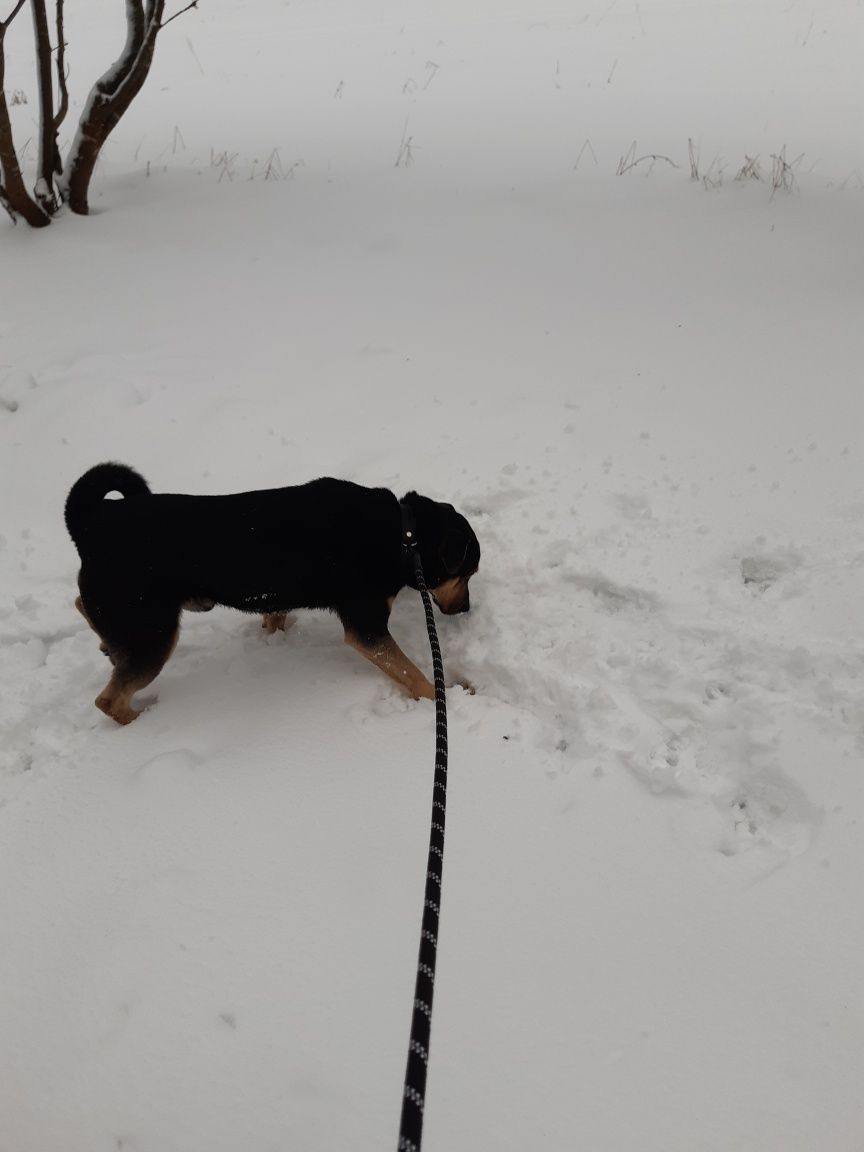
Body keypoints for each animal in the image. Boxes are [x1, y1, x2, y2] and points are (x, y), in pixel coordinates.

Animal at [64, 463, 483, 723]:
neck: (403, 534)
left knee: (82, 605)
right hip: (152, 634)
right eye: (468, 573)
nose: (466, 609)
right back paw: (142, 720)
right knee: (108, 699)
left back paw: (105, 643)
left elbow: (274, 616)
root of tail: (90, 524)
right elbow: (415, 674)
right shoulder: (367, 627)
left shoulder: (276, 596)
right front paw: (445, 699)